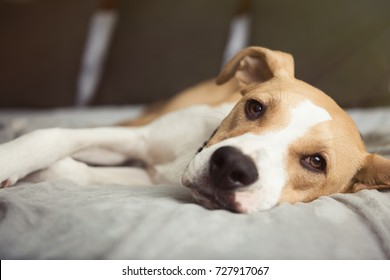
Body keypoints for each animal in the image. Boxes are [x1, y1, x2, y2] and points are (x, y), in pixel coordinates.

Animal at [0, 46, 390, 212]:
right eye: (254, 107)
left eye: (316, 162)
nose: (232, 166)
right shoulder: (138, 138)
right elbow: (54, 135)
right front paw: (11, 158)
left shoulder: (149, 175)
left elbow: (79, 172)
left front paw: (43, 173)